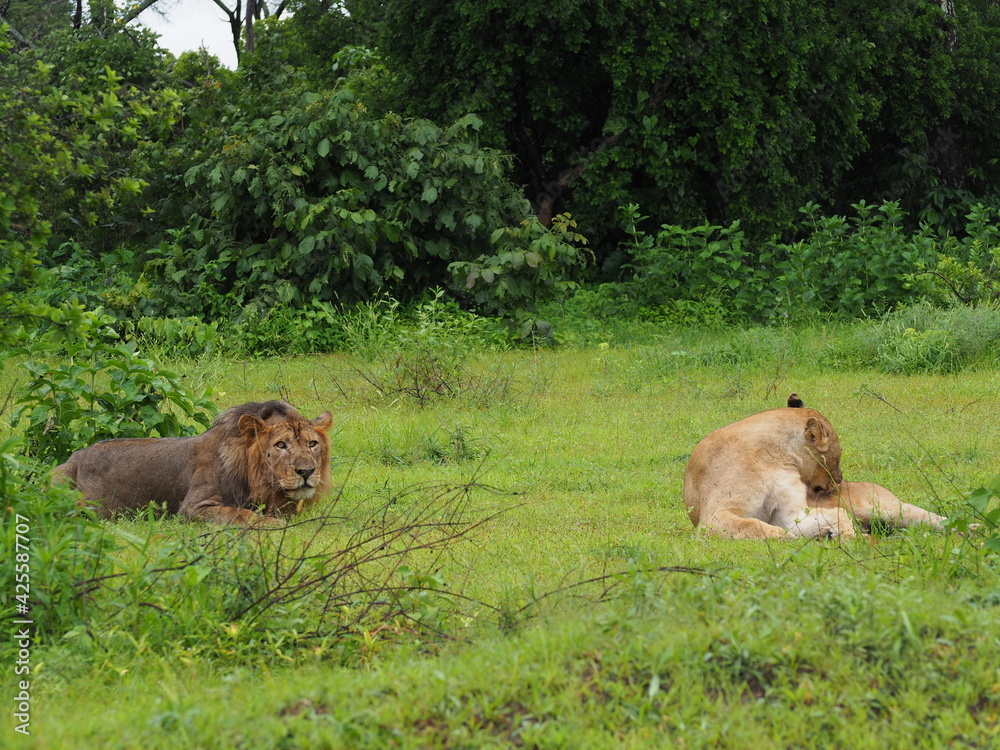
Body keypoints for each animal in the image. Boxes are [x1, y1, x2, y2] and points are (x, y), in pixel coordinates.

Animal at [53, 400, 333, 526]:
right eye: (280, 445)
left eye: (312, 444)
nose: (307, 471)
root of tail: (74, 456)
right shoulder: (193, 508)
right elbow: (239, 513)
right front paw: (274, 524)